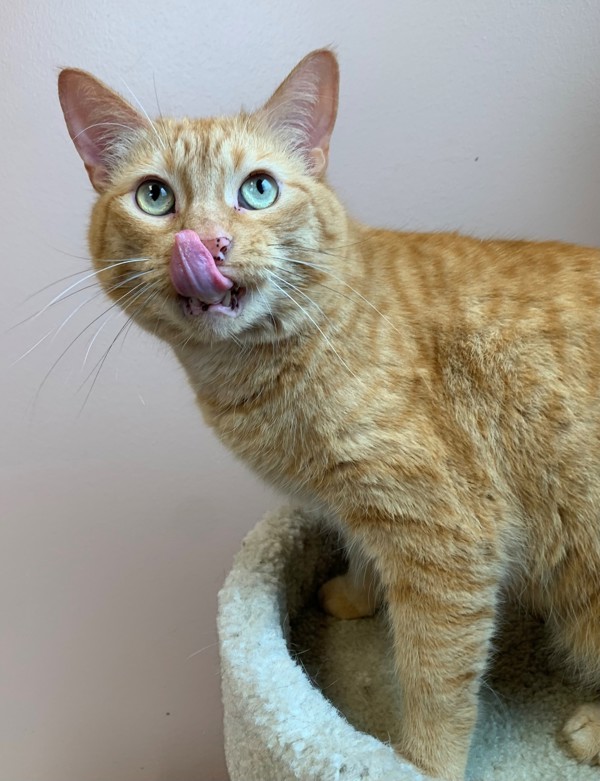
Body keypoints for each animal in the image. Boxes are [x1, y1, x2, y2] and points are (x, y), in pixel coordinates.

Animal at [58, 48, 600, 780]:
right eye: (155, 196)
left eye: (258, 189)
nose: (208, 243)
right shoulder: (362, 503)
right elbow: (361, 549)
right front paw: (354, 594)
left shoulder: (445, 538)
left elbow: (434, 674)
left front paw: (421, 763)